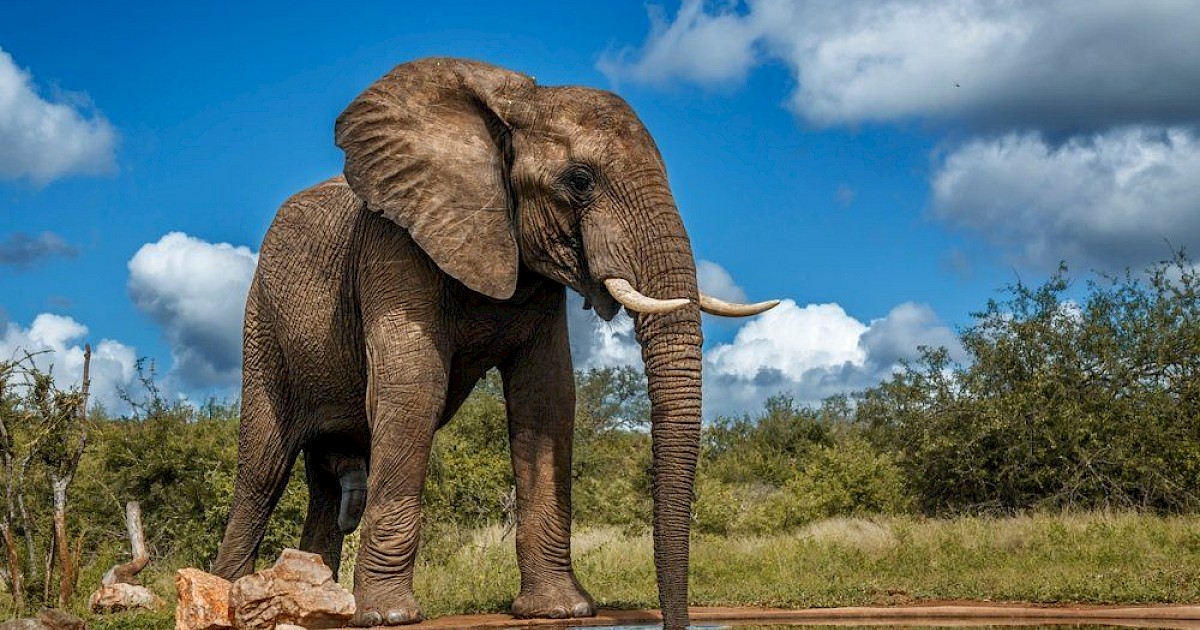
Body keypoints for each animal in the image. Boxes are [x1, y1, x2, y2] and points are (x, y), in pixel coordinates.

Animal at [211, 57, 779, 629]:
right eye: (580, 181)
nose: (673, 622)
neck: (513, 109)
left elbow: (546, 399)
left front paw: (560, 609)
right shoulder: (394, 244)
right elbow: (415, 386)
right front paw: (389, 616)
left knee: (324, 488)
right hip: (261, 320)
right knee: (262, 469)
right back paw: (233, 592)